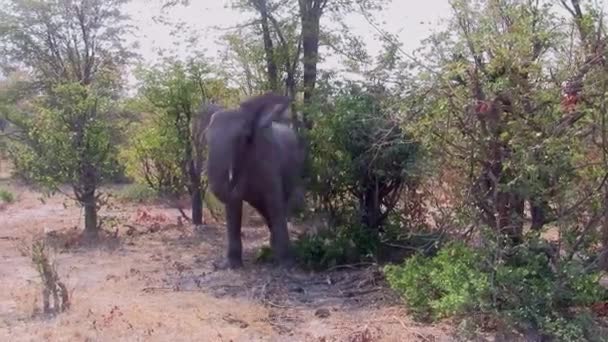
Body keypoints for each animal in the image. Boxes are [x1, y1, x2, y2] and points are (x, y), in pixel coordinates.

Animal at [200, 92, 304, 268]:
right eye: (206, 138)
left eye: (243, 138)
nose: (215, 265)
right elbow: (233, 207)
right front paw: (231, 266)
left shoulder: (268, 159)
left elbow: (275, 203)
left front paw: (285, 265)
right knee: (263, 210)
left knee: (281, 205)